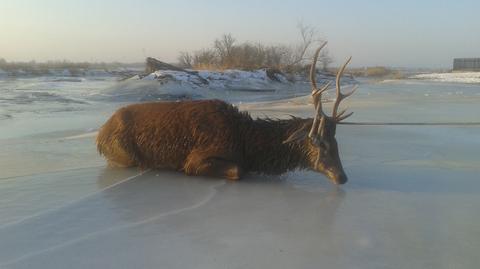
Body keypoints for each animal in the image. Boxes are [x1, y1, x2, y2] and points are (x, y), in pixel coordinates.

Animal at [96, 42, 356, 184]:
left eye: (336, 142)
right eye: (320, 143)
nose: (342, 176)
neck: (246, 144)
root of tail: (99, 135)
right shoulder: (195, 159)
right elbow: (238, 170)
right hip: (122, 153)